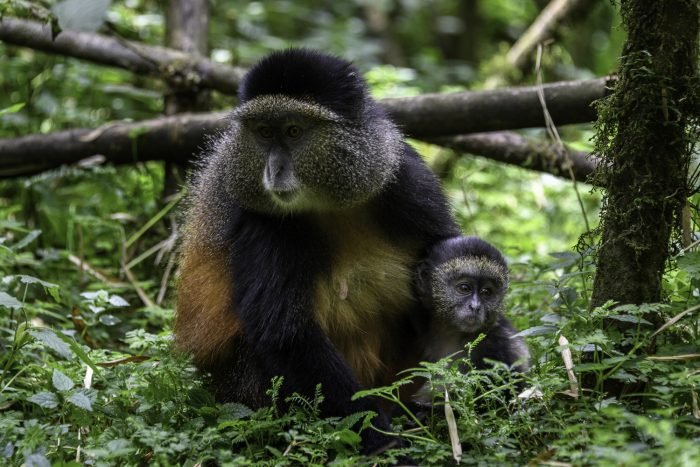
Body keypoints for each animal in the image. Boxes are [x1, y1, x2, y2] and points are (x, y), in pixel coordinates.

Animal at [174, 48, 460, 454]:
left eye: (294, 131)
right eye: (264, 132)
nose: (274, 170)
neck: (330, 202)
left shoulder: (405, 178)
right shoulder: (264, 223)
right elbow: (285, 335)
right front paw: (385, 443)